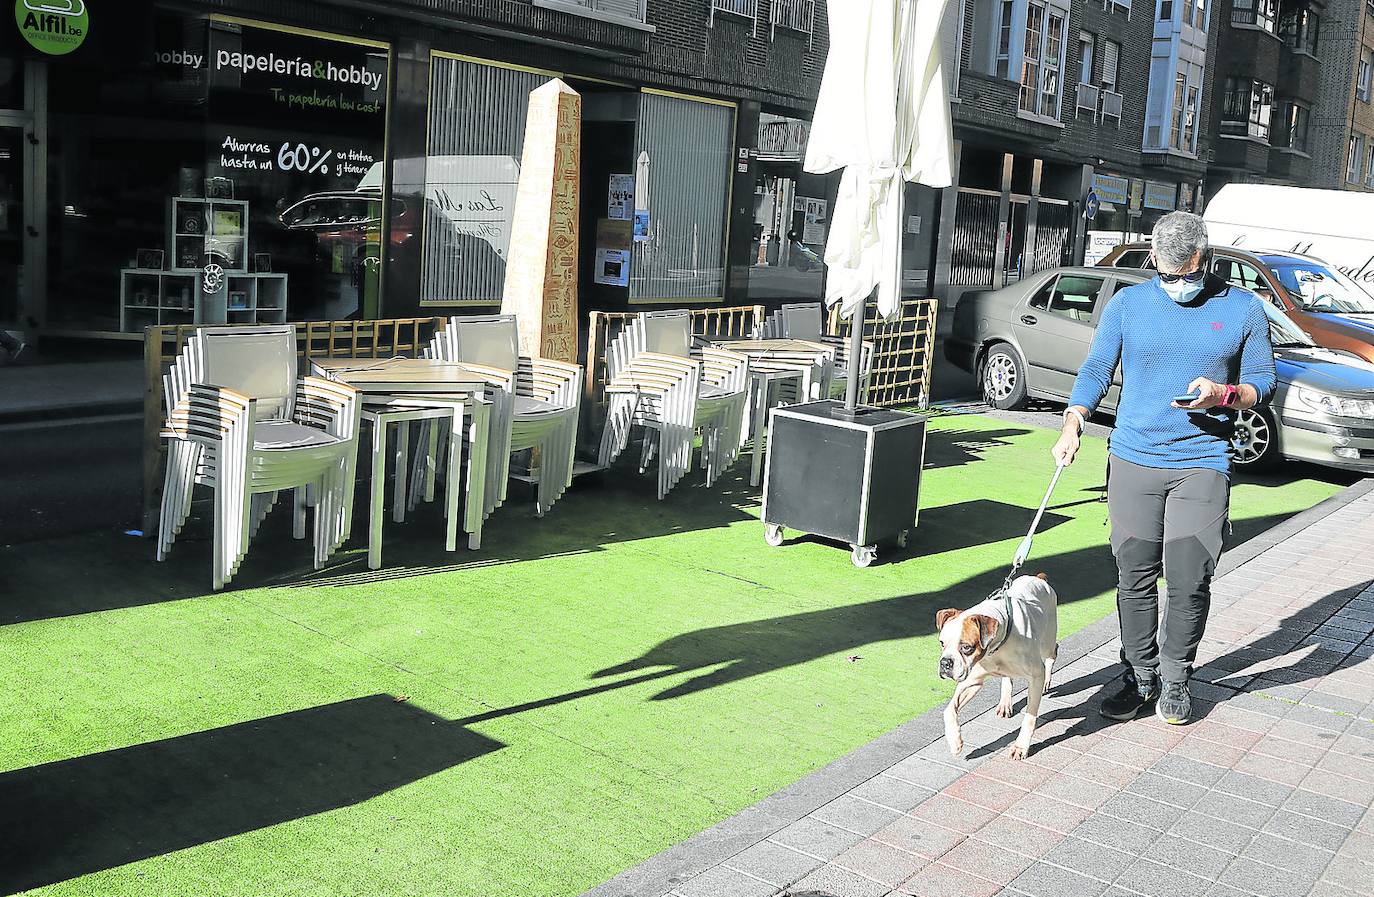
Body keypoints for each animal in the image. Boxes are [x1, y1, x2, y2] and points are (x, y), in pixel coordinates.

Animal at [939, 574, 1055, 758]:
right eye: (942, 643)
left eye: (966, 647)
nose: (945, 663)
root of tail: (1038, 578)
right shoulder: (972, 681)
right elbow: (949, 710)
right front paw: (954, 741)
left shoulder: (1036, 676)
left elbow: (1029, 716)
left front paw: (1021, 746)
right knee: (1007, 677)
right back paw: (1005, 703)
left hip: (1047, 644)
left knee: (1053, 653)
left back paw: (1047, 681)